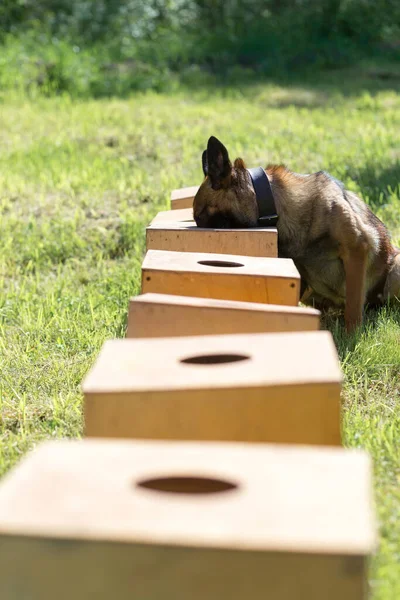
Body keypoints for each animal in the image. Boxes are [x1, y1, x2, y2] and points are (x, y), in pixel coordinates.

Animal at [194, 137, 400, 332]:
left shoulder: (356, 249)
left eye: (200, 216)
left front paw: (352, 337)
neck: (274, 203)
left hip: (395, 268)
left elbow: (354, 306)